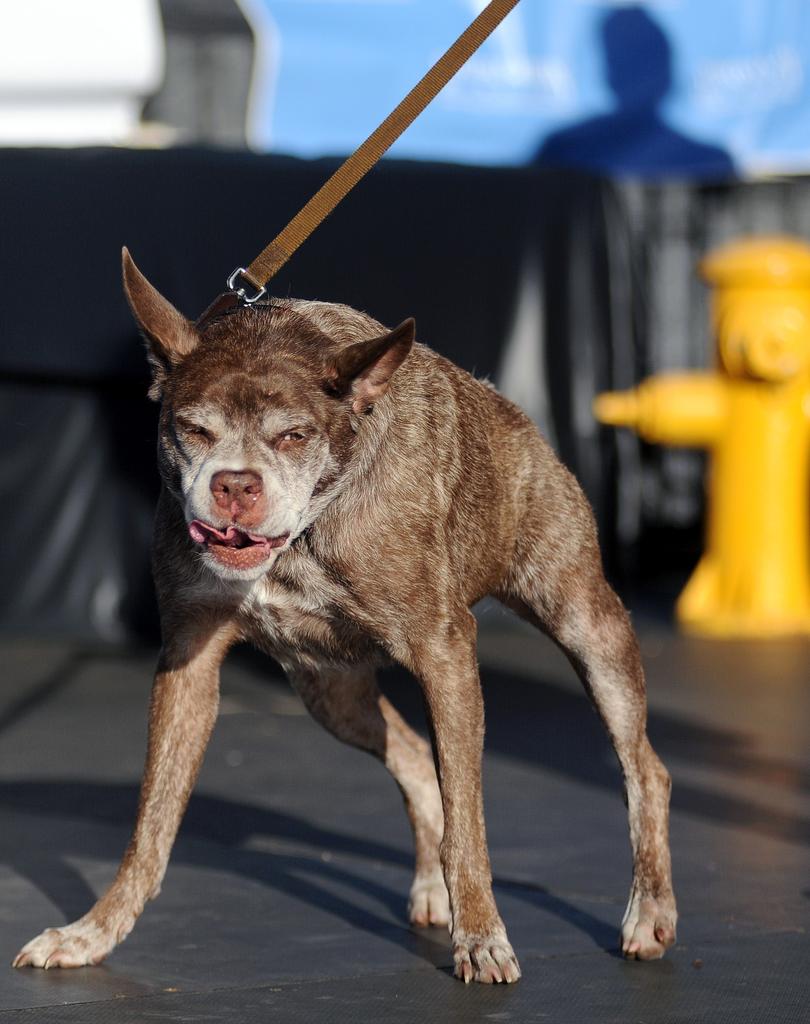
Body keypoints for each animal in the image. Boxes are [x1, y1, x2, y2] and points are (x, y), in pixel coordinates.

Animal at [12, 249, 679, 983]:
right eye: (194, 430)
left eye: (294, 436)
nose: (235, 484)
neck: (303, 538)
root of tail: (511, 411)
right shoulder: (188, 662)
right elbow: (151, 829)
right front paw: (94, 931)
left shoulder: (445, 649)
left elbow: (469, 821)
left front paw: (481, 935)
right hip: (329, 691)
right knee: (414, 755)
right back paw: (431, 885)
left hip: (585, 622)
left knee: (643, 768)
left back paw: (649, 910)